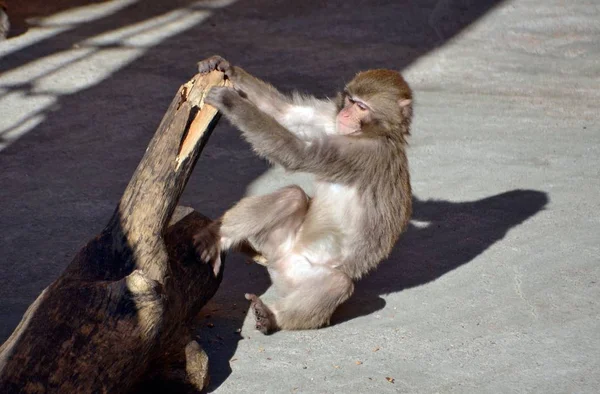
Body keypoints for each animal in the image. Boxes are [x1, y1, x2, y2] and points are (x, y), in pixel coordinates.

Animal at [195, 54, 414, 332]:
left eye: (362, 107)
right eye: (350, 101)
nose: (344, 113)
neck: (378, 132)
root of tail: (279, 260)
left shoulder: (362, 153)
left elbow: (298, 153)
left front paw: (229, 101)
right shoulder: (334, 125)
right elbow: (286, 114)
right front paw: (225, 67)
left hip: (297, 278)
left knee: (338, 283)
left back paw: (272, 316)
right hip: (275, 243)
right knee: (292, 196)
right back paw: (218, 236)